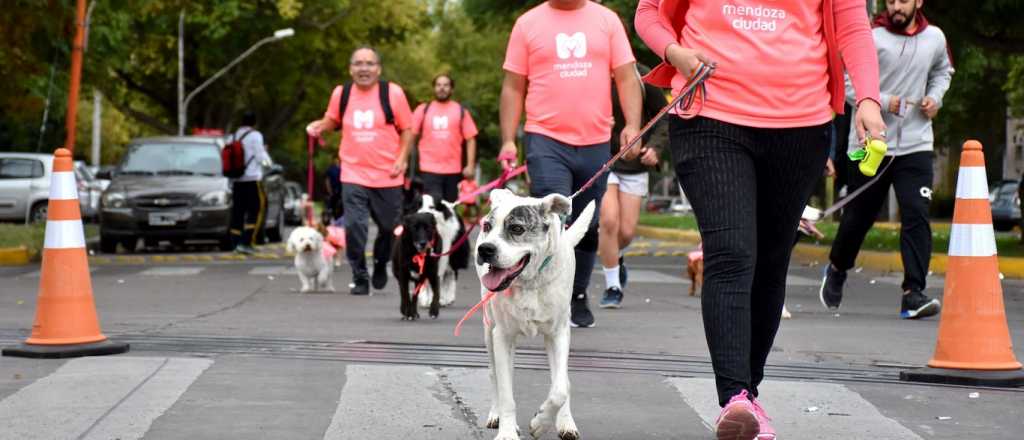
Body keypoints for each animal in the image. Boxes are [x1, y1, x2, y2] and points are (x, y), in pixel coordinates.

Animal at [471, 188, 593, 440]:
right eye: (487, 226)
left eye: (517, 229)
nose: (485, 249)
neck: (530, 281)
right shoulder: (502, 336)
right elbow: (506, 390)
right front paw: (508, 432)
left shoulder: (558, 334)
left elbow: (560, 389)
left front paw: (541, 422)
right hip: (489, 330)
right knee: (494, 374)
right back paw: (496, 414)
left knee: (562, 380)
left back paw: (565, 422)